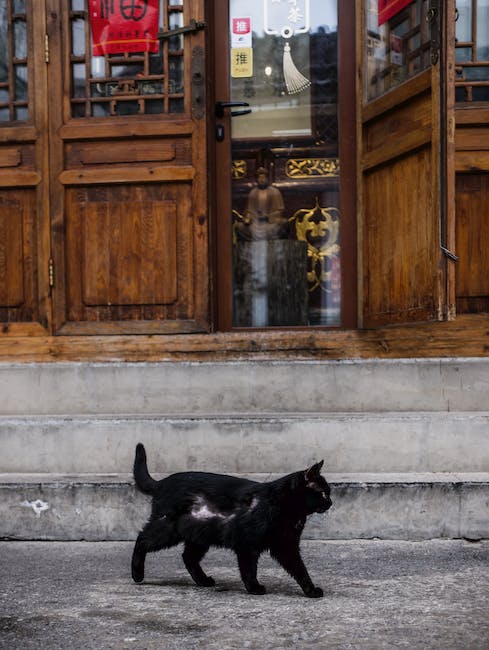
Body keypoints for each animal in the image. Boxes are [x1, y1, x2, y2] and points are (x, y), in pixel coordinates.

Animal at [132, 440, 332, 596]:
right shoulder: (247, 544)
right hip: (168, 528)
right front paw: (254, 588)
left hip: (199, 536)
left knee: (188, 557)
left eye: (328, 493)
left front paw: (310, 590)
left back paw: (203, 581)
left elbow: (300, 569)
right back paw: (137, 574)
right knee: (142, 539)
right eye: (323, 493)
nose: (331, 502)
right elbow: (249, 569)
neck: (287, 509)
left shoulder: (286, 545)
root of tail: (161, 483)